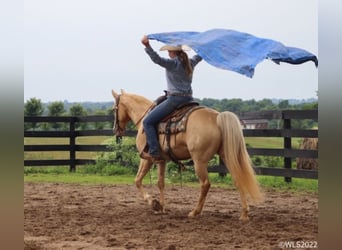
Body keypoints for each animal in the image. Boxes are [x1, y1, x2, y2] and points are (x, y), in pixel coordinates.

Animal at [111, 89, 264, 220]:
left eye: (114, 109)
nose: (115, 129)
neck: (144, 119)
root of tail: (217, 117)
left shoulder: (147, 159)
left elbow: (137, 180)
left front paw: (152, 202)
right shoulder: (162, 160)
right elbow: (161, 183)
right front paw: (161, 207)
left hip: (199, 161)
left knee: (205, 184)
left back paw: (195, 212)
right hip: (226, 156)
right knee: (238, 179)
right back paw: (244, 213)